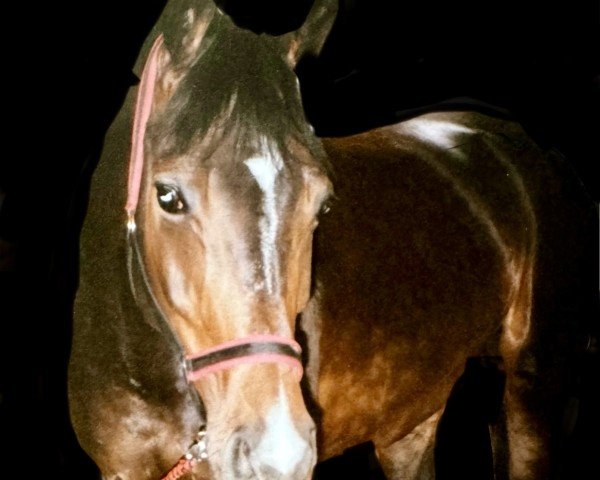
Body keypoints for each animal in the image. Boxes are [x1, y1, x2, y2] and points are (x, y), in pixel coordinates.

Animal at [69, 0, 596, 480]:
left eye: (322, 205)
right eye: (167, 196)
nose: (276, 453)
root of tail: (528, 146)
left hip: (533, 391)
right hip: (414, 416)